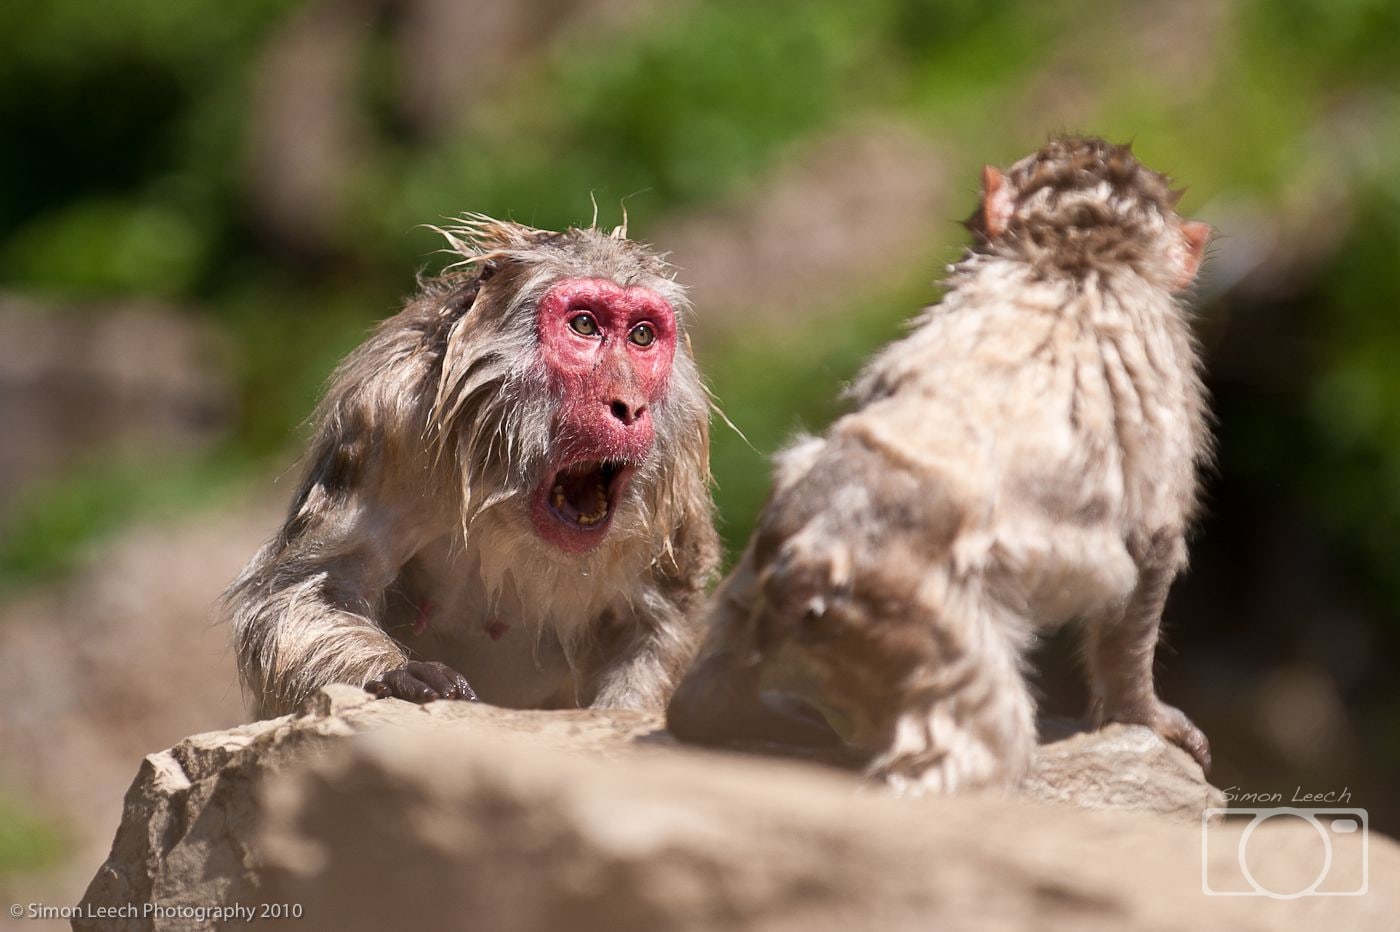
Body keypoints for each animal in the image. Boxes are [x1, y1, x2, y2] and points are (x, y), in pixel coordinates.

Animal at [225, 217, 719, 720]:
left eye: (641, 336)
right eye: (584, 324)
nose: (630, 406)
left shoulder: (675, 465)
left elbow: (663, 613)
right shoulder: (383, 416)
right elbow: (308, 588)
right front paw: (395, 676)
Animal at [667, 136, 1213, 794]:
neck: (1075, 251)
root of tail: (821, 550)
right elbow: (1151, 551)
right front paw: (1143, 712)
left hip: (763, 561)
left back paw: (721, 709)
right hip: (931, 633)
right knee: (980, 740)